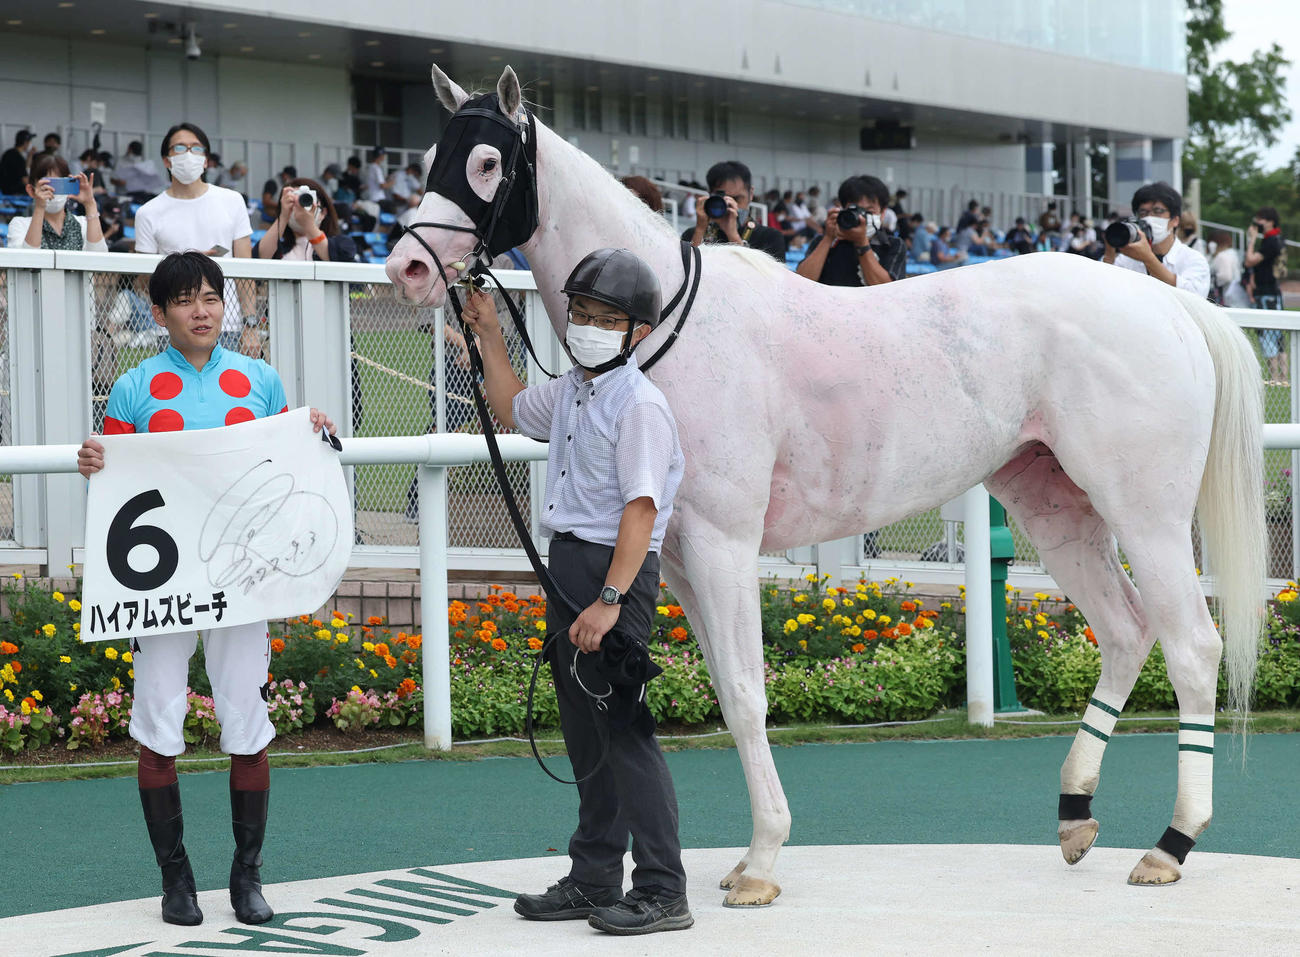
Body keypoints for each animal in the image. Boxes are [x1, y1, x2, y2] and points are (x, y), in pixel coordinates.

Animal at [385, 65, 1265, 906]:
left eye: (488, 162)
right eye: (427, 159)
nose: (409, 267)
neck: (665, 327)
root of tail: (1172, 307)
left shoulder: (724, 544)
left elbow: (746, 694)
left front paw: (762, 861)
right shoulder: (678, 559)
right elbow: (712, 694)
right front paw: (738, 857)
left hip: (1145, 513)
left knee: (1193, 646)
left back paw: (1170, 844)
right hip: (1053, 504)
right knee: (1124, 632)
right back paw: (1076, 815)